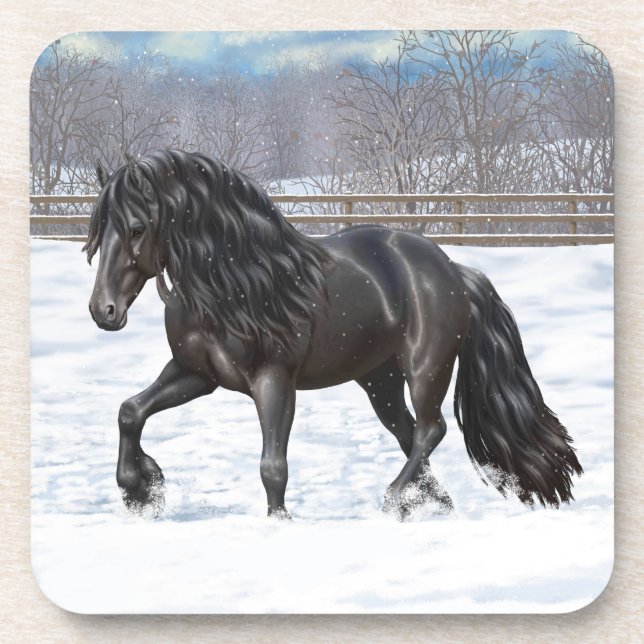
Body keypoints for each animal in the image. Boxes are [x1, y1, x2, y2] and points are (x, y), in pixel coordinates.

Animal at [85, 149, 583, 519]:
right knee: (410, 435)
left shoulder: (274, 379)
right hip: (379, 381)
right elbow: (130, 411)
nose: (103, 311)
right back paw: (435, 505)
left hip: (426, 369)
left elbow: (272, 465)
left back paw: (394, 501)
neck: (236, 284)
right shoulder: (197, 374)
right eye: (98, 230)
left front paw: (278, 522)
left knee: (431, 430)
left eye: (136, 228)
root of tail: (453, 269)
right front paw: (141, 488)